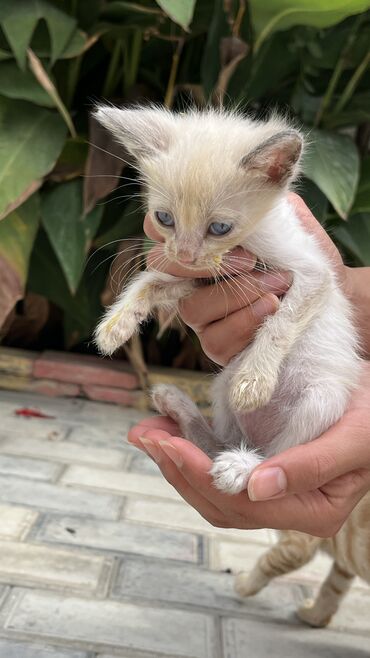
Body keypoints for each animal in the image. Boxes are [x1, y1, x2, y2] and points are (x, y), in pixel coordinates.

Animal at [93, 104, 362, 492]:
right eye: (164, 218)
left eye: (220, 228)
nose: (184, 255)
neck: (250, 239)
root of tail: (255, 437)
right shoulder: (202, 278)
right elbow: (151, 282)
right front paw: (115, 325)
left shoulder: (315, 273)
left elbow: (283, 321)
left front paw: (254, 381)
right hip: (221, 385)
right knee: (217, 445)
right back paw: (180, 408)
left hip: (321, 402)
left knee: (277, 454)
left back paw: (244, 466)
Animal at [236, 492, 368, 624]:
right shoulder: (344, 564)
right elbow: (333, 587)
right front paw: (315, 615)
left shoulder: (298, 545)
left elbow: (266, 562)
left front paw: (245, 585)